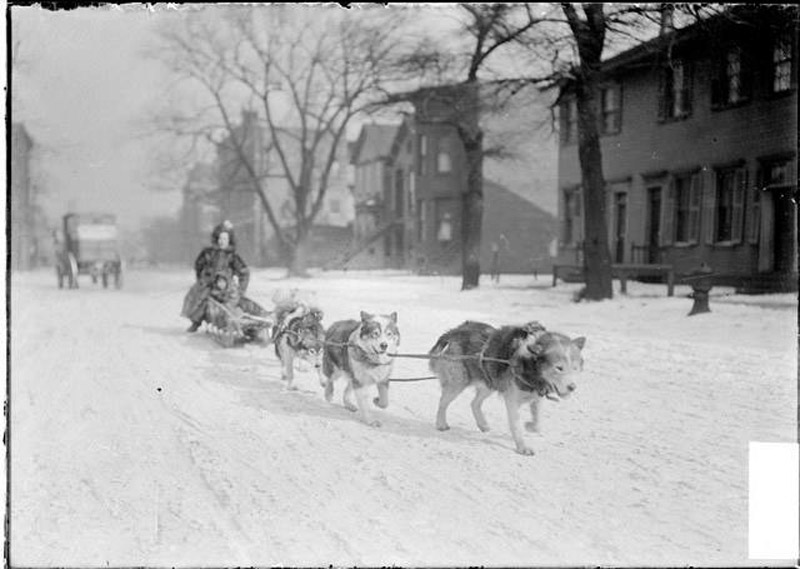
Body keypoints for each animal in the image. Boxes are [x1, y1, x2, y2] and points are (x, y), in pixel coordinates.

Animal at [428, 322, 584, 454]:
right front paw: (522, 447)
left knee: (474, 403)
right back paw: (441, 423)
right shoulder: (512, 401)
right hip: (458, 383)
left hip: (489, 383)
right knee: (442, 403)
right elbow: (516, 426)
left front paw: (530, 426)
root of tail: (451, 333)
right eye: (559, 368)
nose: (572, 387)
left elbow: (537, 421)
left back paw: (482, 424)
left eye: (575, 368)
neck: (528, 363)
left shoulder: (537, 396)